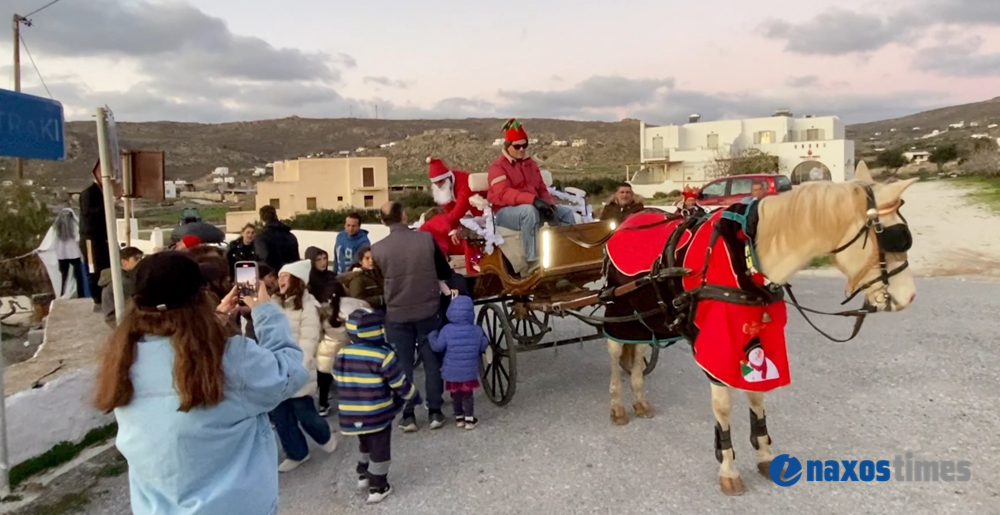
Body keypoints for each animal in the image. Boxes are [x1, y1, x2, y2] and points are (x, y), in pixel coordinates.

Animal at [596, 166, 916, 496]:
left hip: (645, 316)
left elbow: (757, 396)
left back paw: (638, 398)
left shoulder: (759, 334)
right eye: (893, 238)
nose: (909, 297)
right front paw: (728, 467)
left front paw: (764, 454)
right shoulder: (717, 341)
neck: (747, 255)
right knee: (615, 350)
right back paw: (618, 403)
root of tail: (628, 221)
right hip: (619, 309)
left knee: (639, 350)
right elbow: (723, 406)